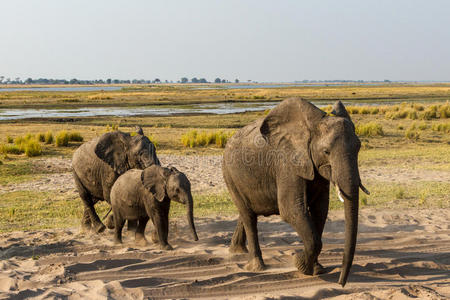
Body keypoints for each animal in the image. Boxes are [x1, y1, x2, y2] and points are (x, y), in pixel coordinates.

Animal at [222, 98, 370, 286]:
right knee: (248, 216)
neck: (312, 127)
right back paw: (257, 267)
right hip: (229, 174)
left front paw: (317, 269)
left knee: (247, 213)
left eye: (358, 147)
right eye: (326, 151)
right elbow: (291, 210)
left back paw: (236, 251)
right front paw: (299, 263)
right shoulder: (286, 162)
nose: (341, 283)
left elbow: (320, 210)